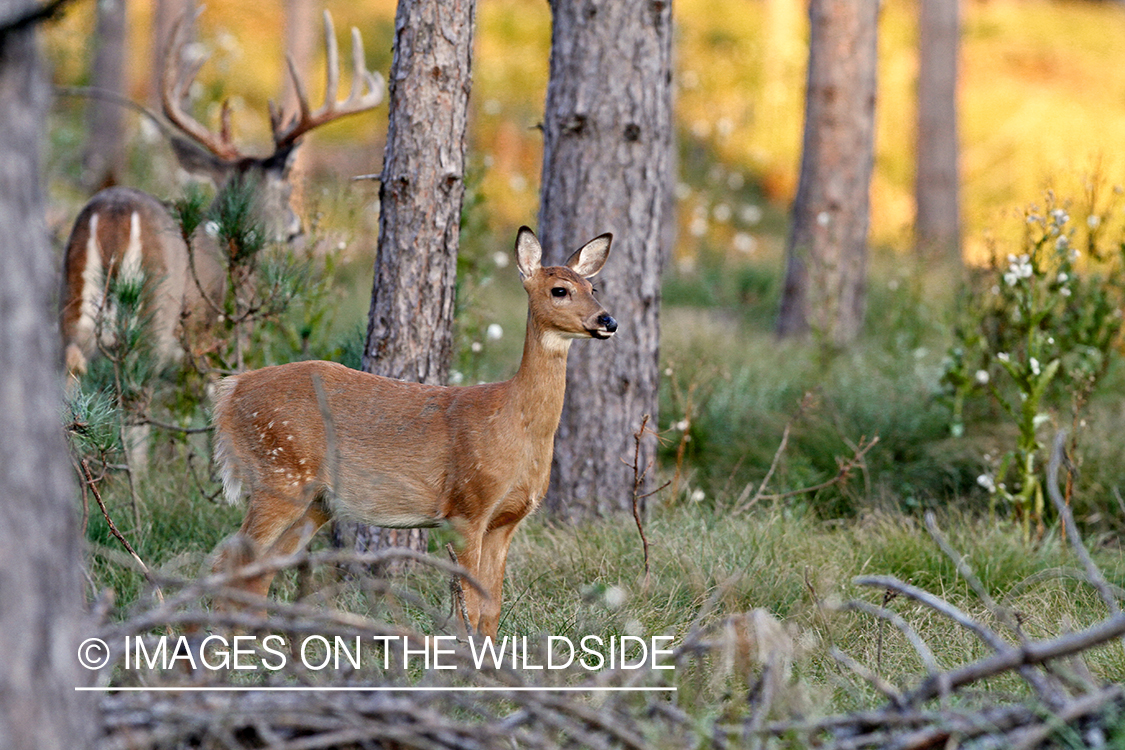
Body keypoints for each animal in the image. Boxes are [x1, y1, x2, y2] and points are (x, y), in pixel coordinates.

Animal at [57, 8, 382, 386]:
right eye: (286, 187)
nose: (297, 228)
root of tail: (114, 211)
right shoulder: (220, 340)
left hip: (72, 314)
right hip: (156, 317)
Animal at [211, 226, 616, 638]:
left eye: (593, 287)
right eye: (560, 290)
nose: (607, 320)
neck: (515, 423)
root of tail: (231, 391)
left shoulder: (507, 520)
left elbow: (492, 607)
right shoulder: (467, 505)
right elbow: (468, 603)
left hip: (314, 501)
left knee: (260, 570)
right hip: (278, 471)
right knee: (227, 560)